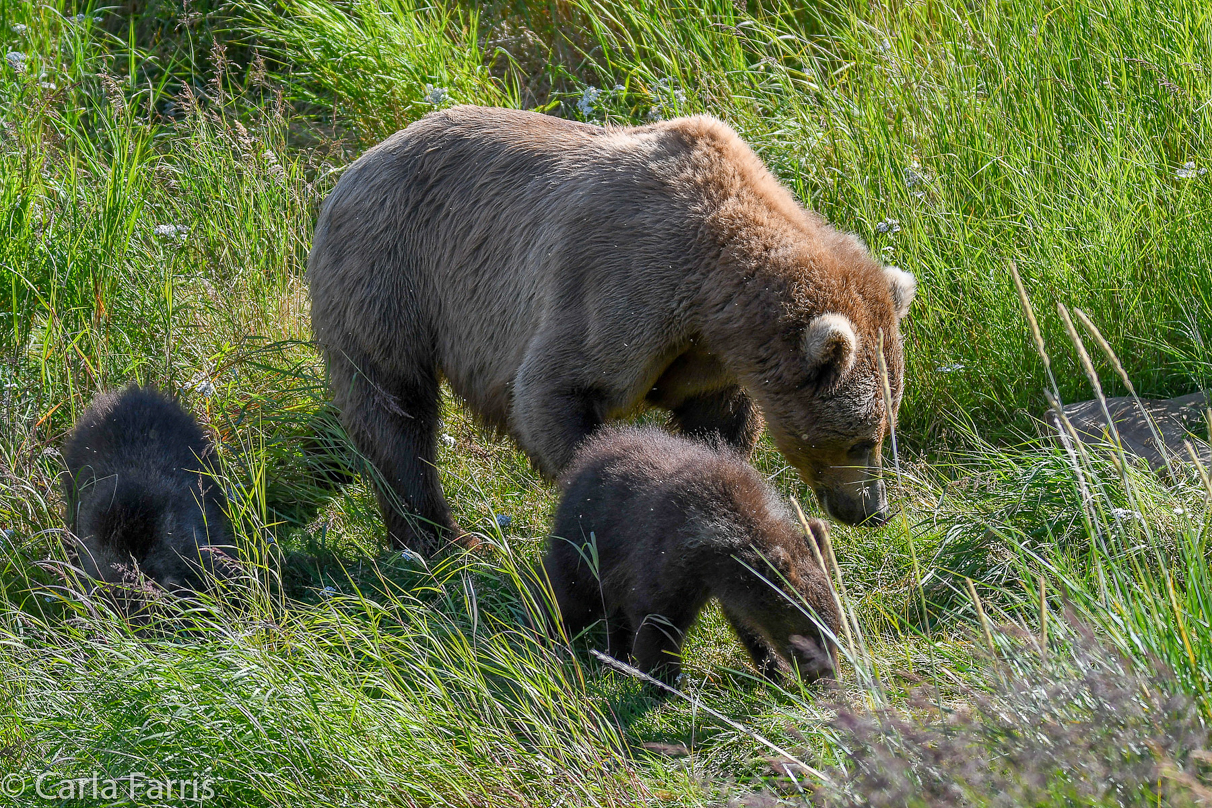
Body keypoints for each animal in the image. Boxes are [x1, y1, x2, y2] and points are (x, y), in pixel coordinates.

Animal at [307, 104, 911, 552]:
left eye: (887, 430)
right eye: (861, 439)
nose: (873, 510)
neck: (712, 289)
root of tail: (353, 167)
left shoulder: (706, 354)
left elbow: (719, 424)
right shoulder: (620, 283)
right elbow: (556, 391)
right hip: (393, 274)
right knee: (393, 408)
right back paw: (440, 538)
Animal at [542, 426, 843, 688]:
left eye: (836, 630)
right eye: (807, 634)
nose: (828, 681)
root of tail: (586, 455)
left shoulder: (729, 583)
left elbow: (748, 621)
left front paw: (774, 671)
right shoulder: (669, 558)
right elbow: (657, 618)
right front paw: (663, 683)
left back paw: (616, 655)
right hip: (586, 544)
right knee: (571, 596)